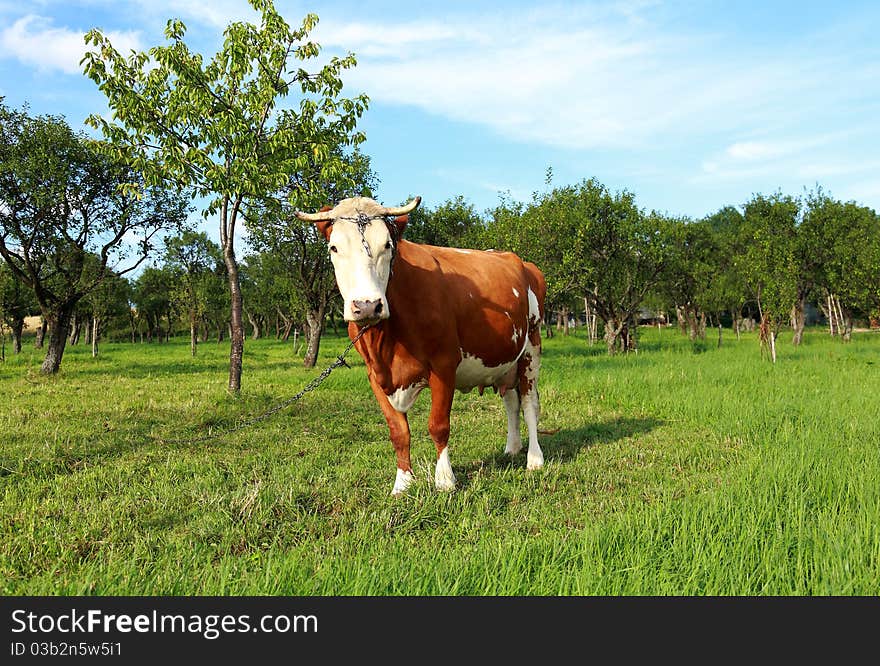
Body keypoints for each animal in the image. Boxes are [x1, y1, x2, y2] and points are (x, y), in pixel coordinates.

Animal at [296, 196, 544, 492]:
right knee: (511, 401)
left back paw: (534, 459)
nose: (367, 305)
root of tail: (520, 261)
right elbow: (398, 431)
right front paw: (402, 483)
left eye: (387, 245)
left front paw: (445, 479)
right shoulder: (374, 374)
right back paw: (512, 448)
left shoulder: (444, 365)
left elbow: (438, 424)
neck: (387, 341)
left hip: (531, 348)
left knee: (529, 403)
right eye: (334, 248)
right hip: (504, 360)